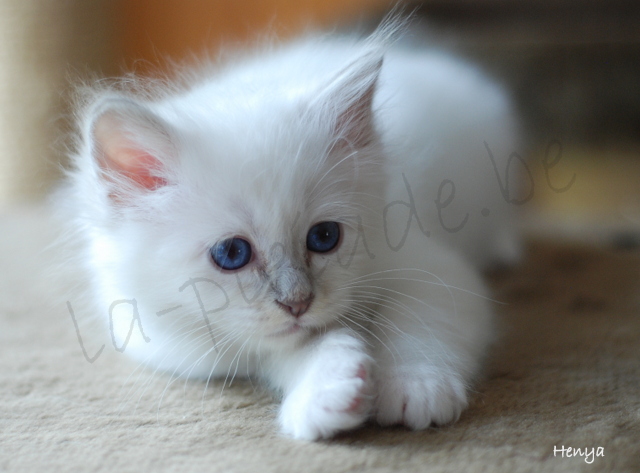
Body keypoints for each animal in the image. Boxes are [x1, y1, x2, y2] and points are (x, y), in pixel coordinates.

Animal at [63, 21, 520, 438]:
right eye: (231, 254)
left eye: (324, 237)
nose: (298, 303)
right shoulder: (185, 345)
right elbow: (286, 350)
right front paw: (328, 389)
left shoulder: (430, 266)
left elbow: (419, 324)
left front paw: (415, 388)